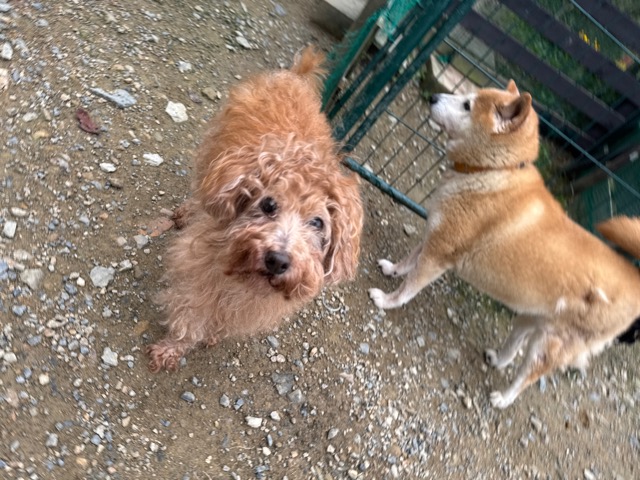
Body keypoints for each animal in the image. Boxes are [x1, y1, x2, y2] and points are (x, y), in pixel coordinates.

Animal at [147, 47, 363, 372]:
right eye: (268, 204)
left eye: (317, 223)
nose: (277, 260)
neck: (246, 279)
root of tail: (294, 77)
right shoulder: (199, 273)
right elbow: (190, 316)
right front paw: (172, 349)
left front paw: (212, 334)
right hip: (211, 153)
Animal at [368, 80, 640, 408]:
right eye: (464, 96)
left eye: (467, 105)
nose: (432, 97)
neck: (494, 172)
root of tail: (633, 276)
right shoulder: (435, 235)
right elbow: (408, 261)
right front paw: (391, 270)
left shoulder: (439, 253)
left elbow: (408, 288)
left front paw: (387, 300)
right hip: (530, 318)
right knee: (513, 351)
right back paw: (497, 358)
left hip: (549, 344)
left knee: (530, 374)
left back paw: (503, 399)